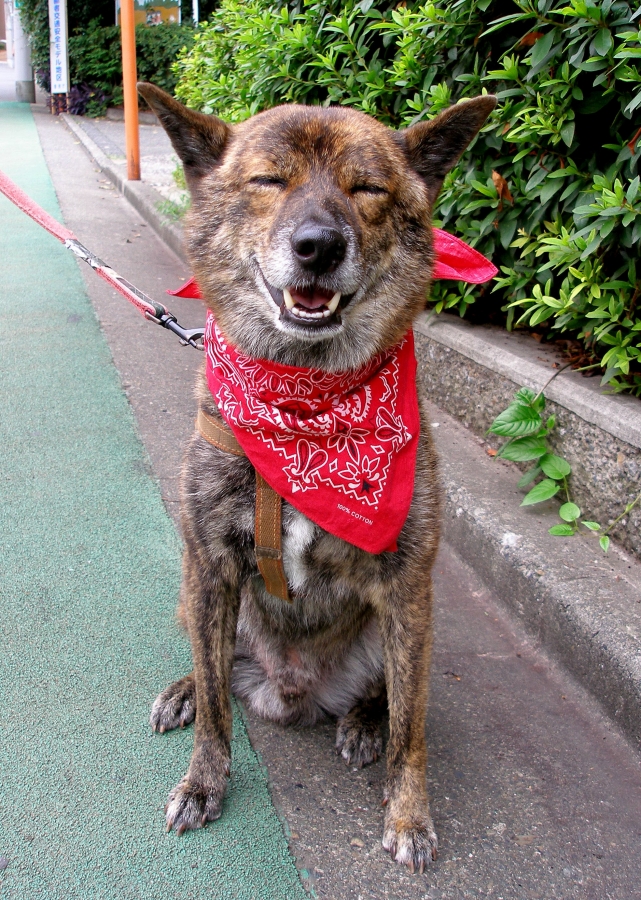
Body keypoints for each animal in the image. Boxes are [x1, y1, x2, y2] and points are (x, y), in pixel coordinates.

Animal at [135, 84, 496, 872]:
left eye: (367, 190)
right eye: (268, 181)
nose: (319, 247)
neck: (305, 408)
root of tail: (290, 690)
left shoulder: (407, 586)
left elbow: (412, 733)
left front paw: (408, 815)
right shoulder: (211, 564)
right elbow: (217, 711)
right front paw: (204, 782)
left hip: (401, 629)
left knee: (388, 695)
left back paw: (361, 721)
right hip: (194, 590)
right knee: (215, 667)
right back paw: (185, 688)